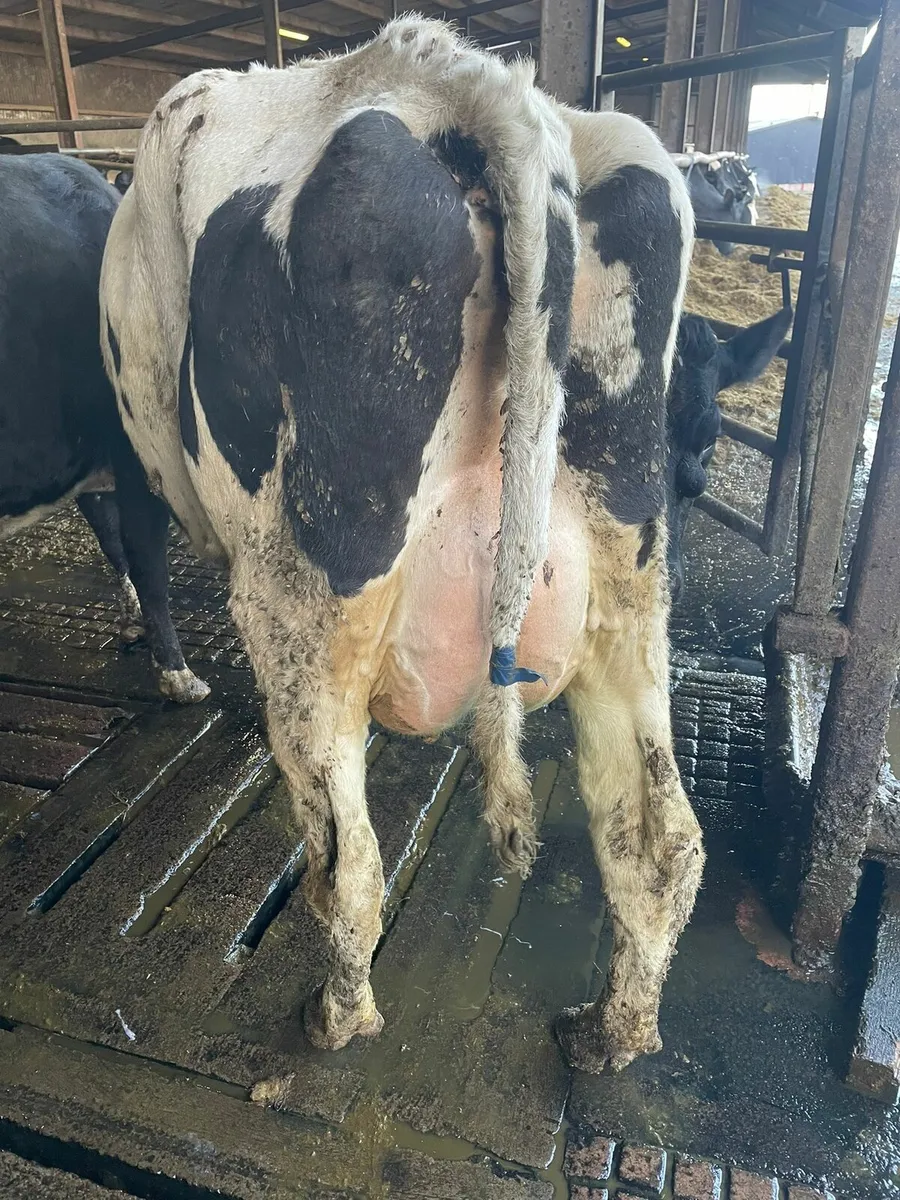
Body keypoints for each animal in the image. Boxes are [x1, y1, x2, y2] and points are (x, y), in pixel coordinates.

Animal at [101, 17, 701, 1074]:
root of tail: (460, 83)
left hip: (307, 593)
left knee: (348, 862)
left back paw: (335, 1019)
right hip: (629, 575)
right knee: (657, 835)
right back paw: (610, 1033)